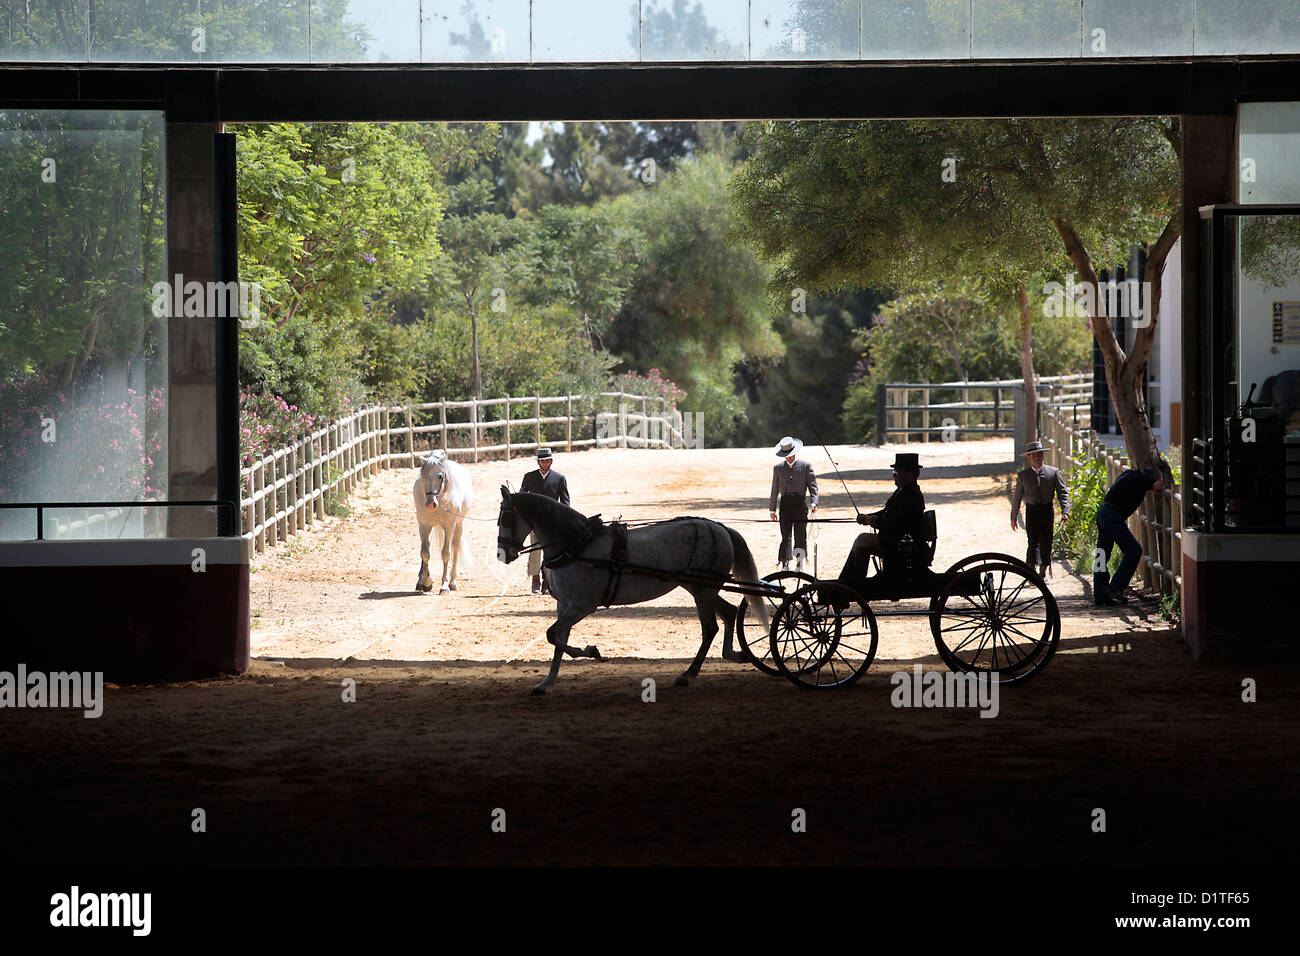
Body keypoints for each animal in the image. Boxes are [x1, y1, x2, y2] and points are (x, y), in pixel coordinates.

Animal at [410, 452, 473, 595]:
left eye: (440, 476)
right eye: (423, 475)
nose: (430, 504)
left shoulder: (449, 526)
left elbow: (445, 554)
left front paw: (444, 586)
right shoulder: (423, 526)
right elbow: (425, 553)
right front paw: (426, 582)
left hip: (459, 524)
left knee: (455, 546)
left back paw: (453, 582)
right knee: (426, 546)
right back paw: (421, 580)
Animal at [493, 486, 759, 697]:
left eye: (505, 518)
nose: (501, 555)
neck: (576, 546)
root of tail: (719, 528)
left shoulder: (582, 606)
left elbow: (552, 635)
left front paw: (590, 651)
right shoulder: (565, 606)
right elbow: (558, 641)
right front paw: (546, 683)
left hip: (703, 591)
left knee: (710, 627)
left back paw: (689, 673)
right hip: (700, 589)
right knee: (729, 613)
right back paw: (734, 654)